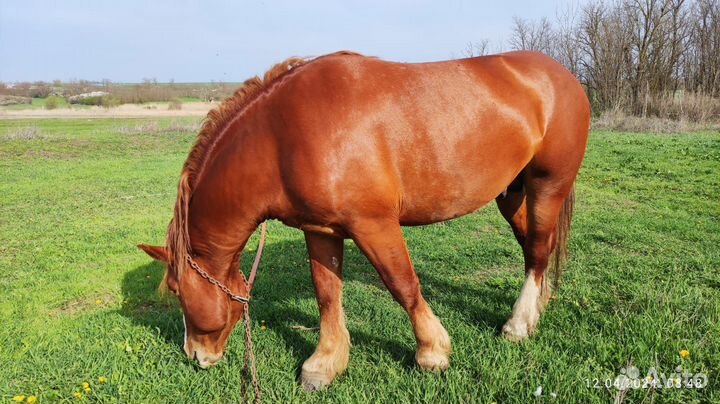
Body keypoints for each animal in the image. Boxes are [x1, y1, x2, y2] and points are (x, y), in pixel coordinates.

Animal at [137, 50, 590, 391]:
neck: (281, 136)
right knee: (536, 249)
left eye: (176, 290)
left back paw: (518, 324)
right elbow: (326, 294)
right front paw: (324, 363)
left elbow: (403, 285)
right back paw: (536, 309)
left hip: (547, 185)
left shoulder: (374, 224)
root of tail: (563, 76)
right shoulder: (319, 230)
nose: (196, 356)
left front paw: (432, 352)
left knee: (537, 248)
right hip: (512, 192)